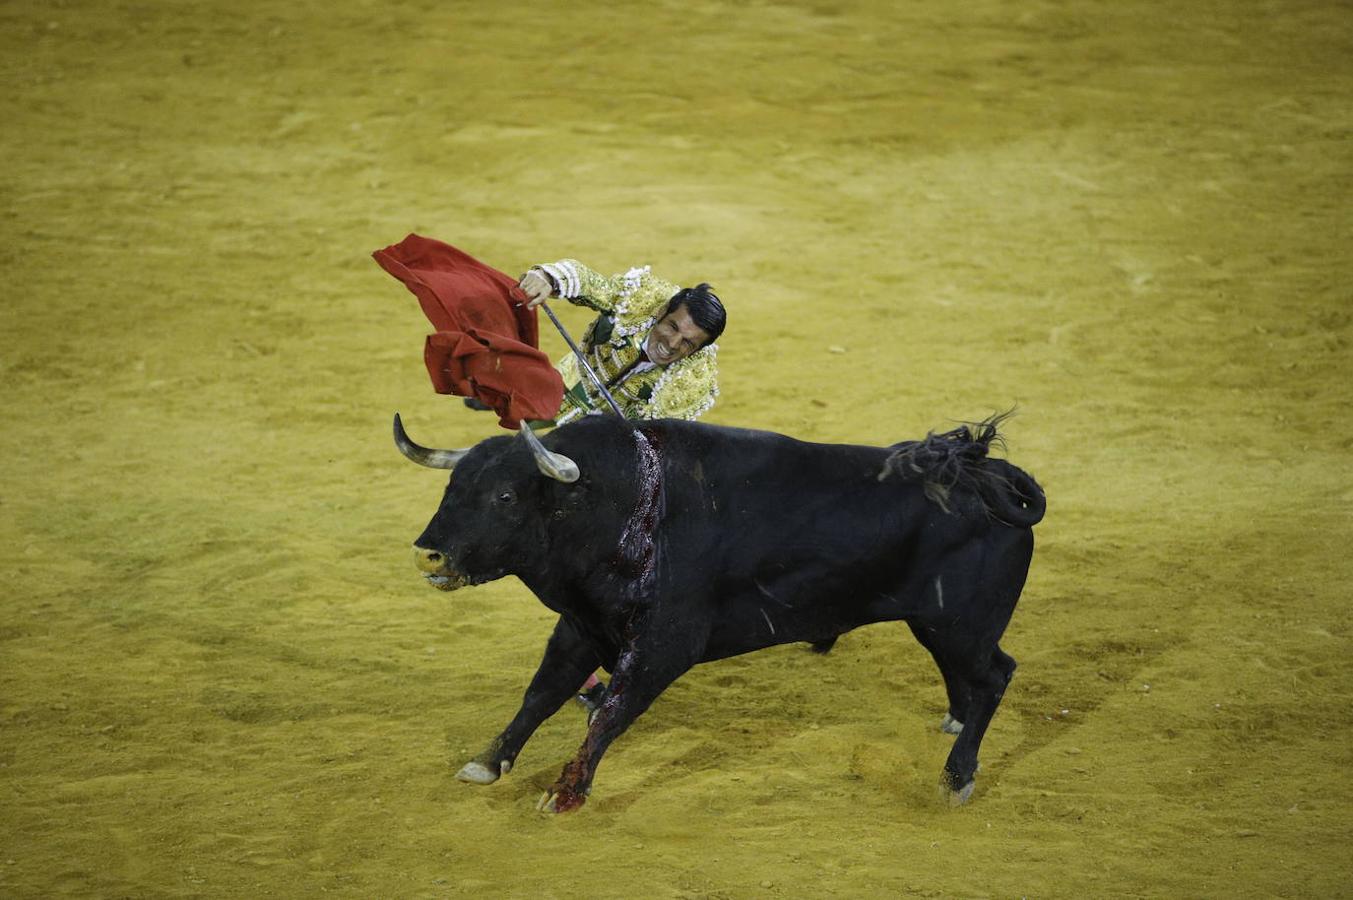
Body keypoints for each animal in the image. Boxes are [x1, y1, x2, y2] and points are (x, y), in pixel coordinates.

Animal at [392, 411, 1044, 812]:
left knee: (995, 676)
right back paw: (954, 724)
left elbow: (611, 714)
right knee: (969, 675)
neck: (619, 503)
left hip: (960, 623)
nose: (429, 552)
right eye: (451, 489)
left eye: (505, 496)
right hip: (941, 625)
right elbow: (541, 693)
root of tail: (985, 474)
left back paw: (957, 777)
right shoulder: (582, 625)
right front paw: (487, 762)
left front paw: (566, 793)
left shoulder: (662, 644)